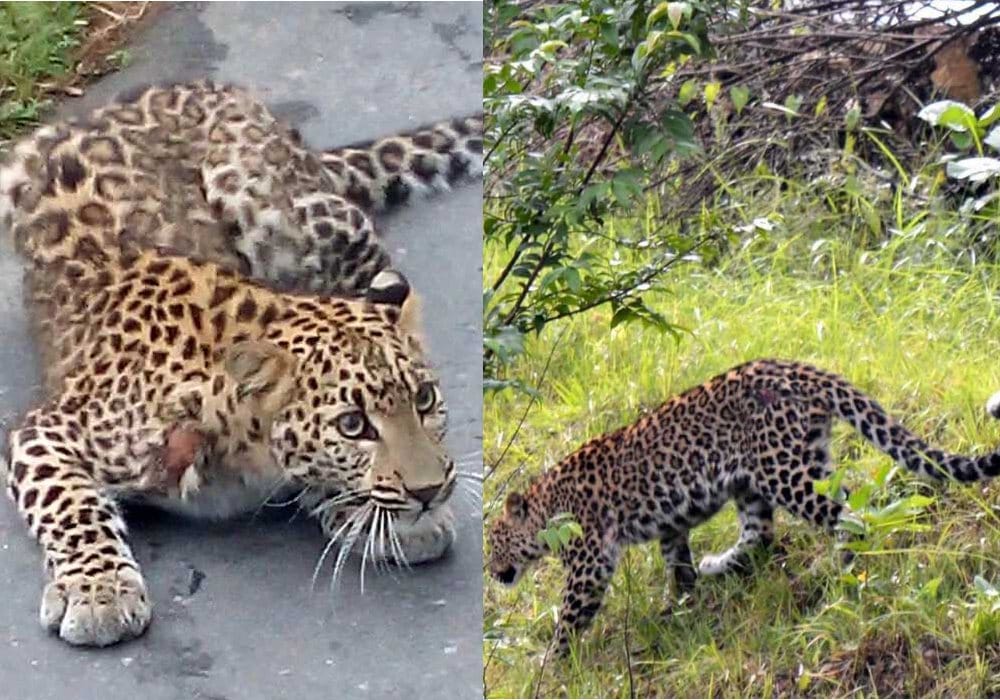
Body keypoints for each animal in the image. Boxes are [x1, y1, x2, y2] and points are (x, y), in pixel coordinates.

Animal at [0, 81, 481, 647]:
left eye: (424, 400)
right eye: (353, 425)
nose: (430, 492)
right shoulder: (46, 429)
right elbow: (70, 505)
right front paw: (100, 593)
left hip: (274, 206)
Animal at [486, 359, 1000, 656]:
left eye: (495, 543)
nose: (492, 572)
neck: (546, 504)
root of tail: (798, 368)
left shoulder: (589, 560)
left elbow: (569, 617)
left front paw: (549, 667)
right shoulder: (671, 529)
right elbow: (678, 567)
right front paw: (681, 605)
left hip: (783, 472)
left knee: (847, 518)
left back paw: (844, 572)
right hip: (766, 477)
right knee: (763, 534)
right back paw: (720, 565)